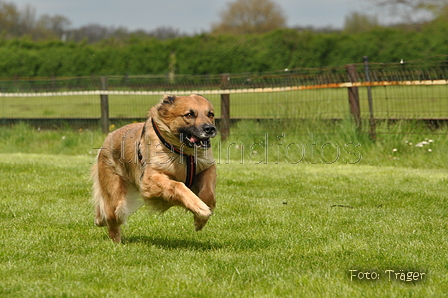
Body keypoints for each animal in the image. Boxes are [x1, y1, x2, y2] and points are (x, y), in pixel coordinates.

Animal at [91, 94, 217, 243]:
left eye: (210, 114)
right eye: (189, 114)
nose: (210, 129)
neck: (183, 152)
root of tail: (109, 137)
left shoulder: (206, 168)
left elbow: (208, 193)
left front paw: (200, 218)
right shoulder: (149, 181)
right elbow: (177, 185)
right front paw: (200, 208)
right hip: (115, 199)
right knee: (112, 219)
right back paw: (116, 241)